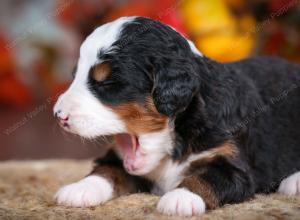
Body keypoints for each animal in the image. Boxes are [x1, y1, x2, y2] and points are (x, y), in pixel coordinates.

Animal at [53, 16, 300, 217]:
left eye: (107, 83)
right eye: (75, 76)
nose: (58, 115)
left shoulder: (233, 163)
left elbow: (207, 177)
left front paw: (181, 197)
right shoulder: (118, 157)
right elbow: (106, 170)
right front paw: (79, 189)